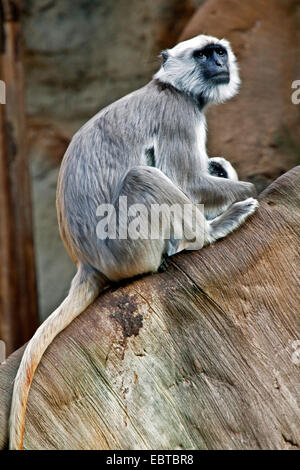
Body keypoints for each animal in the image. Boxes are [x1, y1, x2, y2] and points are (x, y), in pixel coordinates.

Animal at [9, 34, 258, 448]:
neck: (170, 87)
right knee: (145, 176)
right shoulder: (177, 113)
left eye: (219, 52)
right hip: (128, 248)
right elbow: (188, 181)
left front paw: (222, 170)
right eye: (204, 55)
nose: (219, 63)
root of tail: (87, 262)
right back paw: (208, 233)